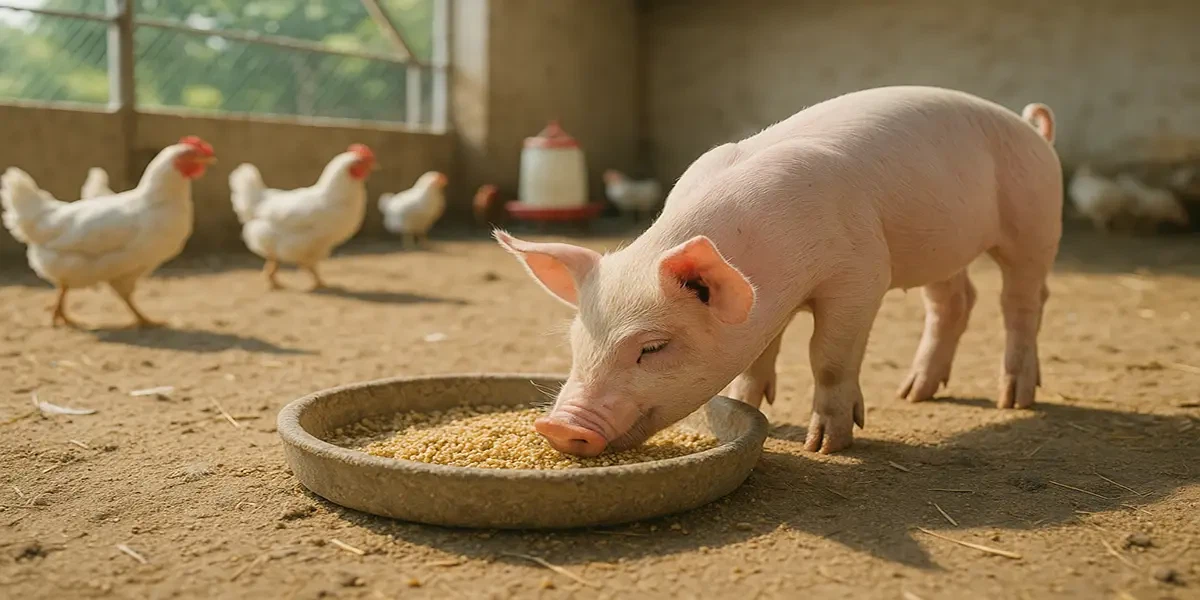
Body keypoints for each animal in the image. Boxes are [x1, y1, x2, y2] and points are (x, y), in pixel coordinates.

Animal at [496, 85, 1061, 456]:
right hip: (939, 243)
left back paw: (1014, 400)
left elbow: (827, 357)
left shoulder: (862, 272)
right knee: (954, 301)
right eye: (575, 344)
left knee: (1023, 301)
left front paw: (824, 447)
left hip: (1033, 221)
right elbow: (759, 355)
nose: (557, 428)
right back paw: (914, 392)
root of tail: (1031, 128)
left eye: (652, 348)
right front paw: (747, 404)